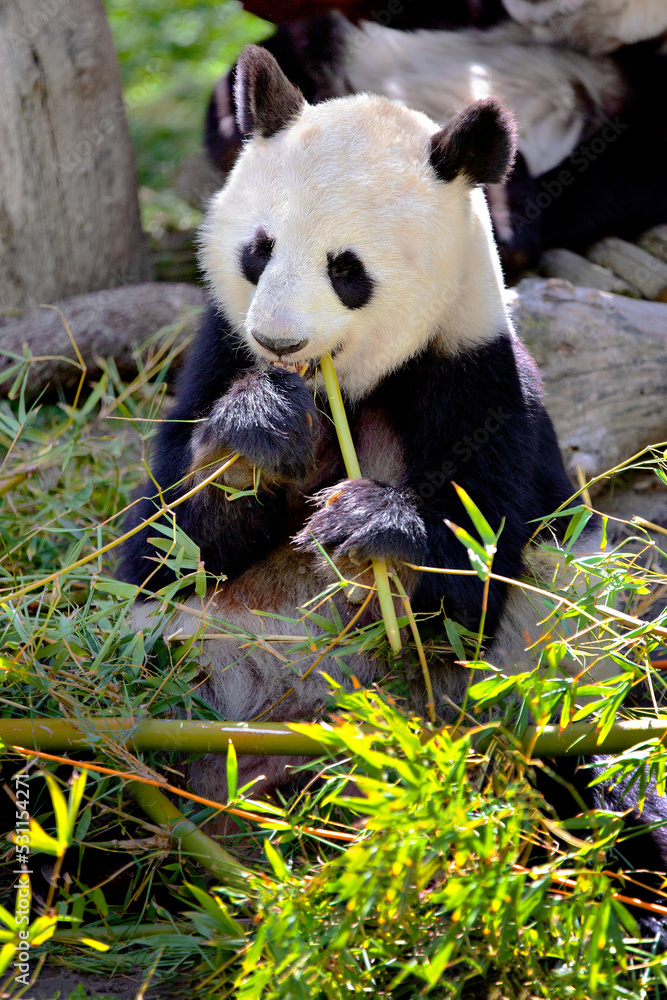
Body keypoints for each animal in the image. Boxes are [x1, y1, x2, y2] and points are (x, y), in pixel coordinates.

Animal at [120, 45, 667, 941]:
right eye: (258, 250)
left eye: (347, 270)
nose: (280, 340)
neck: (347, 387)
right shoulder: (214, 355)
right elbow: (162, 554)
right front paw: (260, 431)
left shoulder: (484, 380)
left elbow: (468, 591)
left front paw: (368, 527)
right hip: (173, 687)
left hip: (522, 712)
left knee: (578, 771)